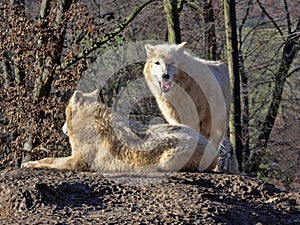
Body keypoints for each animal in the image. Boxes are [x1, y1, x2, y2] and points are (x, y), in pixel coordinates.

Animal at [20, 89, 218, 172]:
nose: (62, 128)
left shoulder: (77, 162)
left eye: (64, 115)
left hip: (169, 158)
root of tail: (214, 150)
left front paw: (28, 164)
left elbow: (49, 160)